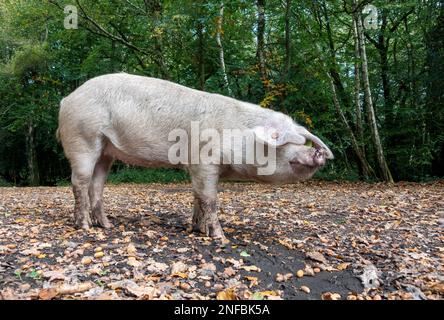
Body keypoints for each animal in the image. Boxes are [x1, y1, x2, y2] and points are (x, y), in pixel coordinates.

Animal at [56, 72, 332, 238]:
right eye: (289, 139)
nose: (318, 152)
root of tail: (66, 99)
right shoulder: (204, 161)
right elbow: (210, 199)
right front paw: (219, 237)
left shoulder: (197, 167)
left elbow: (198, 197)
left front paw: (197, 229)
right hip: (83, 138)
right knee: (79, 182)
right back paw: (85, 227)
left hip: (106, 151)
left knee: (97, 185)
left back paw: (107, 225)